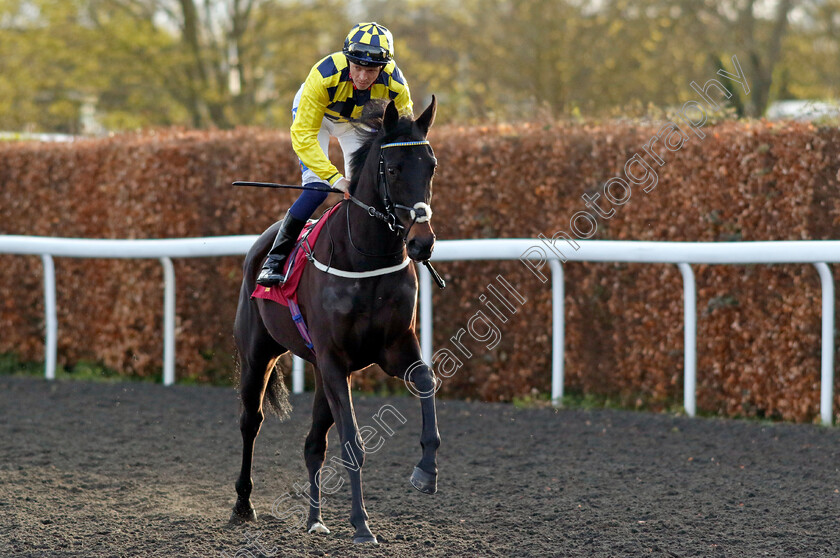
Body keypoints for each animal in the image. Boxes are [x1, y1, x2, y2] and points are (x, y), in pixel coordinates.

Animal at [230, 98, 440, 544]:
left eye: (430, 166)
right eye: (393, 169)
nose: (422, 243)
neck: (365, 257)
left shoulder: (392, 347)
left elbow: (426, 379)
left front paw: (426, 471)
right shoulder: (333, 358)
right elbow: (353, 443)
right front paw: (361, 524)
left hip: (323, 375)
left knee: (313, 444)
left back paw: (315, 519)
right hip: (260, 354)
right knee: (250, 422)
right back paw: (243, 506)